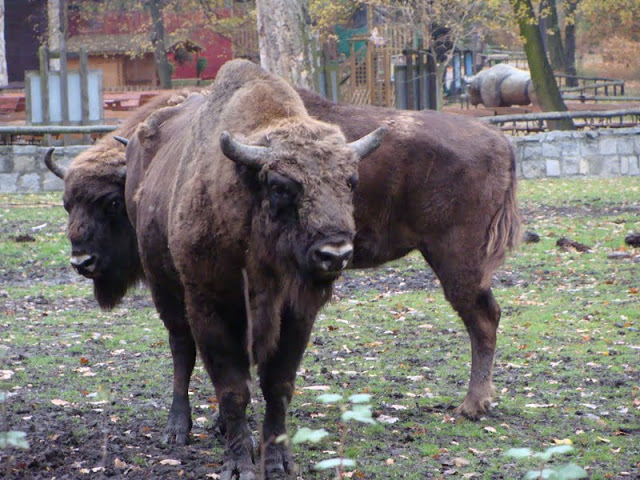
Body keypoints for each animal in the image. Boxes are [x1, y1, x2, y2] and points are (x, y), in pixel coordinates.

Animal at [45, 62, 519, 431]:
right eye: (67, 202)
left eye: (109, 201)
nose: (82, 261)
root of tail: (499, 141)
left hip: (456, 260)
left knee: (483, 318)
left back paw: (472, 405)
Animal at [123, 59, 386, 478]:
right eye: (280, 186)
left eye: (351, 181)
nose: (335, 253)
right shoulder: (209, 306)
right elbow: (232, 388)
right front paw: (238, 462)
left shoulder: (296, 314)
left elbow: (277, 386)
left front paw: (278, 461)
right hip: (164, 287)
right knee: (181, 348)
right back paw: (177, 428)